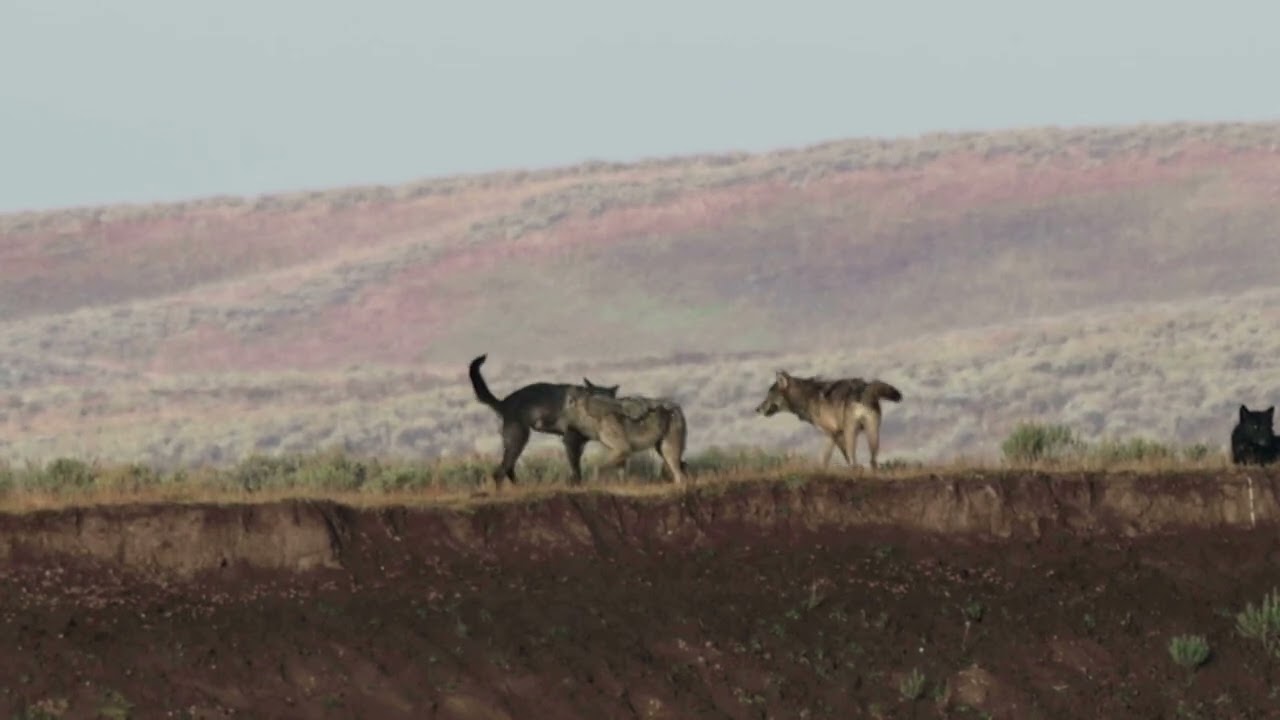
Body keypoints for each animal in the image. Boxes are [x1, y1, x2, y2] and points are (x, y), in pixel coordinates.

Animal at [469, 354, 619, 485]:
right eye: (594, 398)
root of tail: (504, 402)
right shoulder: (570, 440)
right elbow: (576, 469)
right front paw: (577, 485)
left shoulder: (580, 444)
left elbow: (576, 467)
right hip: (518, 439)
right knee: (500, 472)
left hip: (513, 442)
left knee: (507, 469)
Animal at [755, 370, 903, 470]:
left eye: (769, 395)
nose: (757, 409)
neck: (807, 397)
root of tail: (864, 388)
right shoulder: (834, 435)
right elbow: (831, 456)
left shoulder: (832, 433)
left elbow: (831, 457)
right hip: (872, 431)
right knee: (873, 461)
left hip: (851, 431)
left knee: (854, 457)